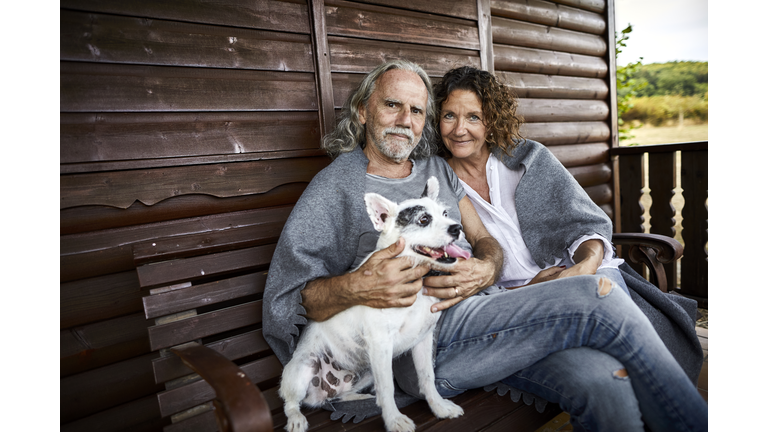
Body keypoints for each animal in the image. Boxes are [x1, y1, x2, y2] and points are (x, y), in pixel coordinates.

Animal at [280, 176, 464, 432]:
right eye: (424, 220)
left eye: (445, 213)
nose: (457, 228)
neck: (416, 284)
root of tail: (320, 395)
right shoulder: (381, 345)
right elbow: (387, 388)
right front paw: (394, 419)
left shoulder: (423, 341)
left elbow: (427, 377)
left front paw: (439, 407)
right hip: (303, 368)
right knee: (292, 402)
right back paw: (296, 418)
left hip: (365, 370)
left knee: (339, 396)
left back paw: (357, 397)